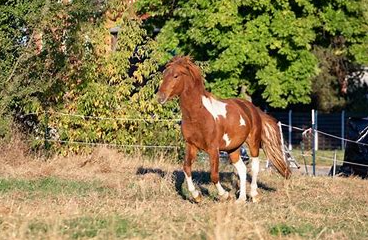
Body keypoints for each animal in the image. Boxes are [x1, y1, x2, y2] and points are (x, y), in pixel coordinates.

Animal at [157, 56, 288, 202]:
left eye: (176, 75)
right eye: (164, 74)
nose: (160, 97)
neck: (198, 115)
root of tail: (253, 108)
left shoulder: (213, 149)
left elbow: (214, 175)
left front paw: (225, 195)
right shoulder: (191, 145)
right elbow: (186, 168)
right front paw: (197, 196)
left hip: (253, 143)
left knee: (254, 167)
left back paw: (254, 195)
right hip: (233, 148)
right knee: (242, 169)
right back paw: (241, 199)